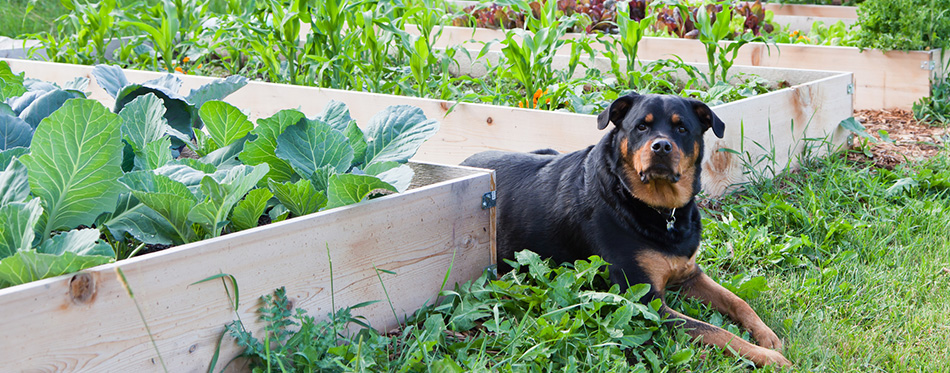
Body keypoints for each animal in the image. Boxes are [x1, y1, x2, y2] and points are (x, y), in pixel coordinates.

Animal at [464, 91, 792, 364]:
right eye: (641, 127)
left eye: (682, 128)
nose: (661, 146)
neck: (658, 210)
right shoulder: (646, 300)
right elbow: (714, 331)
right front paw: (769, 357)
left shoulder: (689, 274)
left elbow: (738, 301)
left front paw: (768, 337)